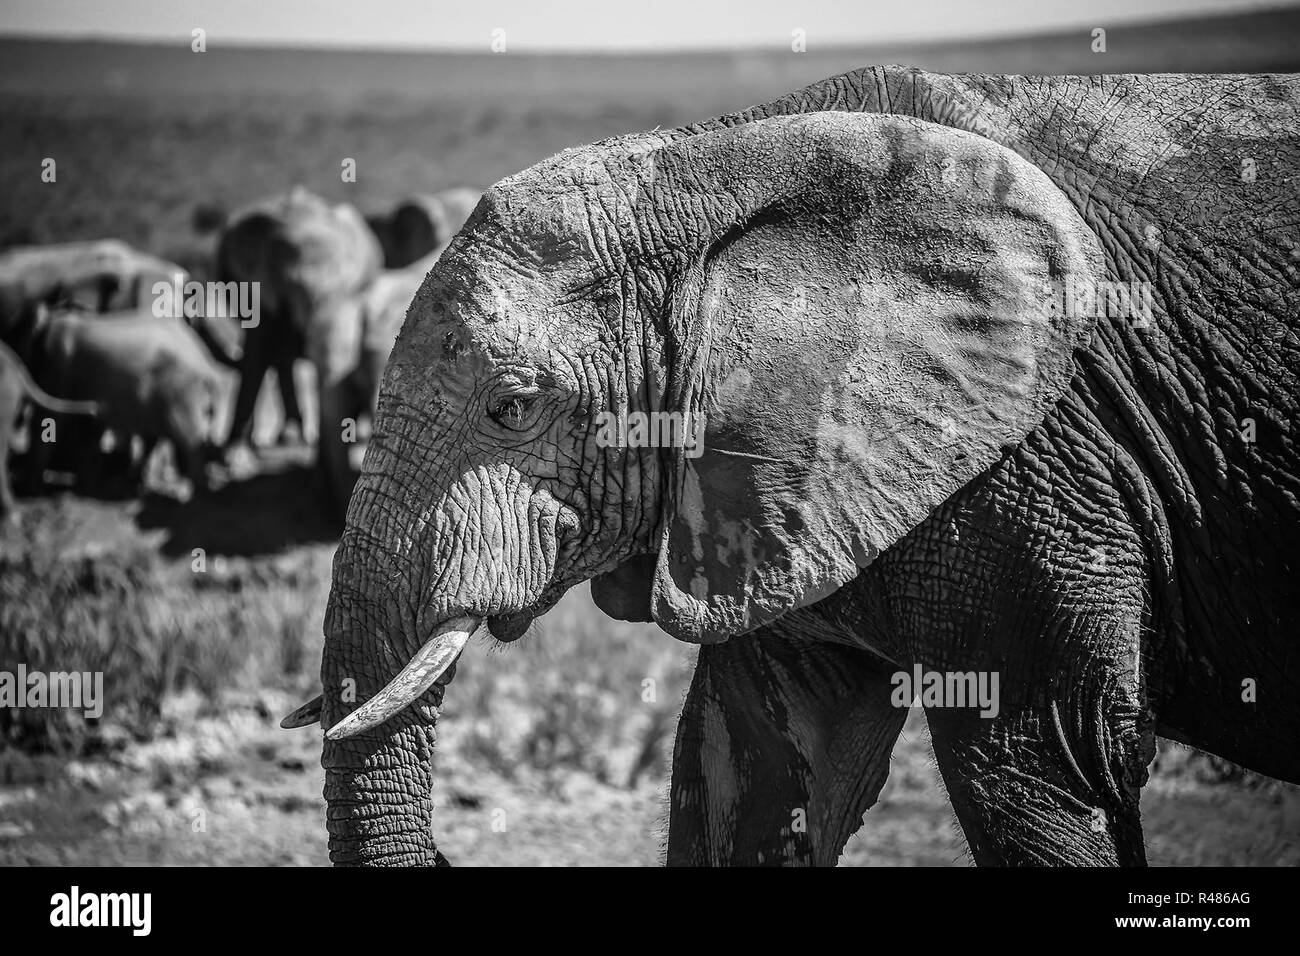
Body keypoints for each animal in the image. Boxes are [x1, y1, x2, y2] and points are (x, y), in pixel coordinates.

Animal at [213, 187, 382, 509]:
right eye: (293, 285)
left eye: (347, 284)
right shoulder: (256, 284)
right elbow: (257, 351)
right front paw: (232, 462)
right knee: (278, 355)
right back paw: (287, 437)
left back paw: (293, 436)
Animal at [299, 65, 1300, 868]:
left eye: (512, 407)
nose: (447, 849)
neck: (713, 161)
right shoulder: (772, 487)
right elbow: (758, 767)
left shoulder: (1039, 461)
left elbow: (1044, 762)